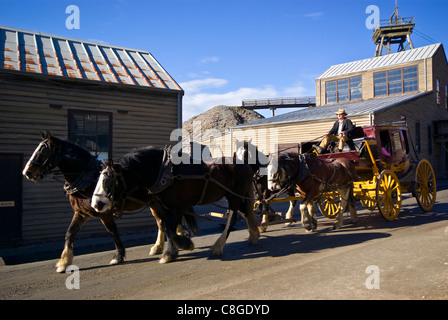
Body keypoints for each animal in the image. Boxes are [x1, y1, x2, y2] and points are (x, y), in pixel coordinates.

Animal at [91, 146, 260, 264]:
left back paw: (218, 246)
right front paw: (170, 253)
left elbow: (172, 231)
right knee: (246, 212)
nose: (96, 204)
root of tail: (245, 164)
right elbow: (168, 228)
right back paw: (254, 235)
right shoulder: (167, 208)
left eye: (109, 181)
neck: (167, 174)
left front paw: (186, 244)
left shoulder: (179, 207)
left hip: (234, 196)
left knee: (233, 218)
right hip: (233, 196)